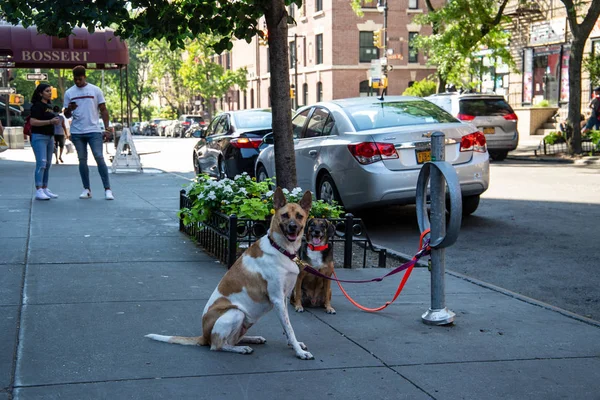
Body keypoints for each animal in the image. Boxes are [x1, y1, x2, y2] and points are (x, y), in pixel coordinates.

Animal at [146, 188, 314, 360]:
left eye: (299, 216)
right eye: (285, 215)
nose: (293, 227)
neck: (280, 249)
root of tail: (203, 336)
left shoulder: (284, 298)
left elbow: (287, 328)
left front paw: (294, 345)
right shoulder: (277, 298)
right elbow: (289, 328)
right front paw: (300, 352)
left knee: (233, 340)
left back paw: (253, 339)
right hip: (235, 312)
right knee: (218, 345)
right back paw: (242, 348)